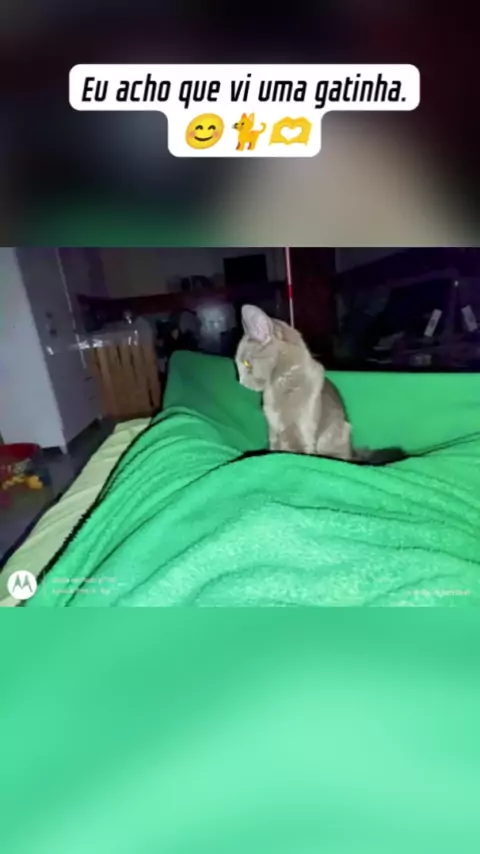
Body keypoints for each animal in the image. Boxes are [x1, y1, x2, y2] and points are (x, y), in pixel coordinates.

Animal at [235, 304, 406, 464]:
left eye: (246, 364)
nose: (240, 381)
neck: (280, 385)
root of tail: (352, 452)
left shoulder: (302, 429)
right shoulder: (274, 429)